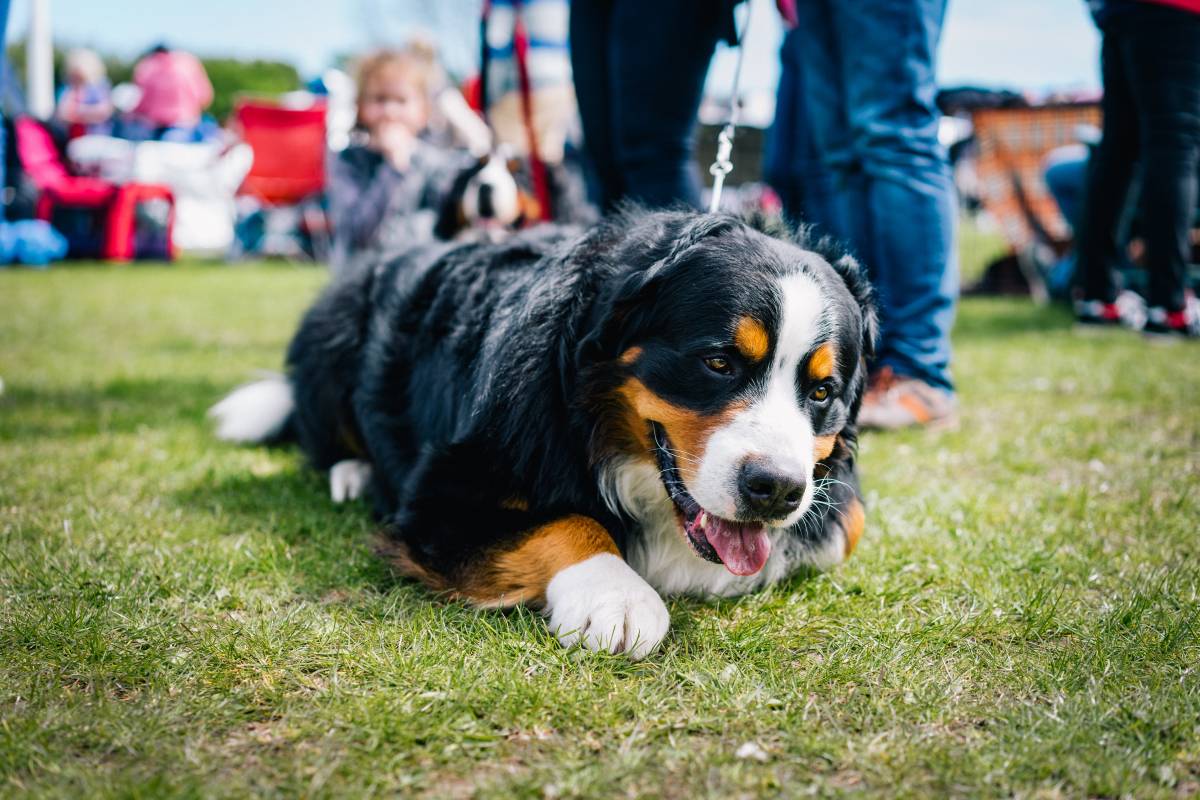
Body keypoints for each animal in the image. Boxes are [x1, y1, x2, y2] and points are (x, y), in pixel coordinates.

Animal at [211, 209, 878, 662]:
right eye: (718, 362)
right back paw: (351, 472)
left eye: (822, 392)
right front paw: (617, 596)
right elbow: (568, 521)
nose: (778, 490)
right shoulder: (441, 497)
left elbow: (845, 526)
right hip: (335, 335)